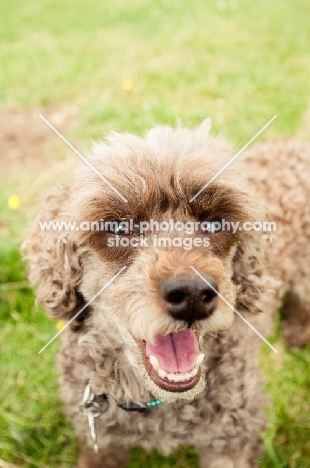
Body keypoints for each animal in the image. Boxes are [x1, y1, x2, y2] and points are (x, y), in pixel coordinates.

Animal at [24, 121, 310, 468]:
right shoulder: (102, 442)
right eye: (117, 228)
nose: (192, 293)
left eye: (216, 223)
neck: (159, 404)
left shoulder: (232, 442)